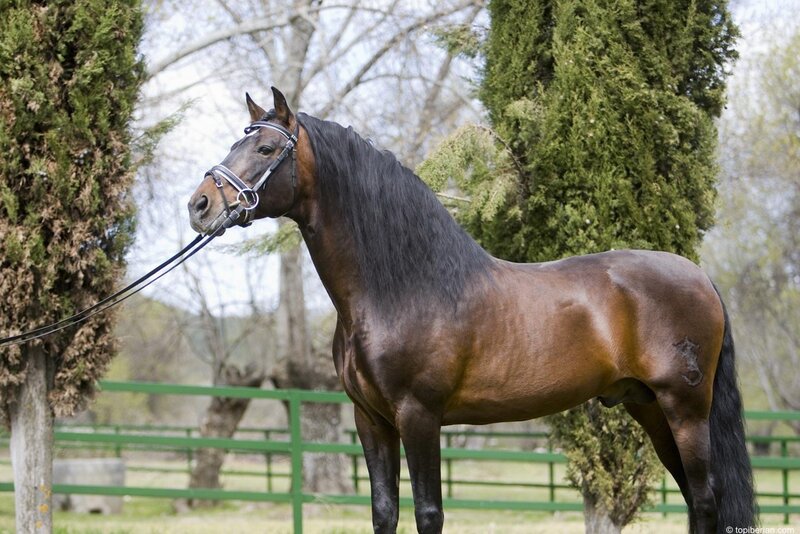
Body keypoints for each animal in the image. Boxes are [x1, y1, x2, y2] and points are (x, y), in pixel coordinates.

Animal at [187, 88, 755, 534]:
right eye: (236, 143)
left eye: (264, 147)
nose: (199, 206)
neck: (404, 286)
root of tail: (700, 276)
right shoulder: (370, 419)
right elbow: (384, 512)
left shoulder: (419, 415)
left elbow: (429, 514)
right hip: (649, 407)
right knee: (695, 498)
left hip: (684, 408)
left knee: (706, 500)